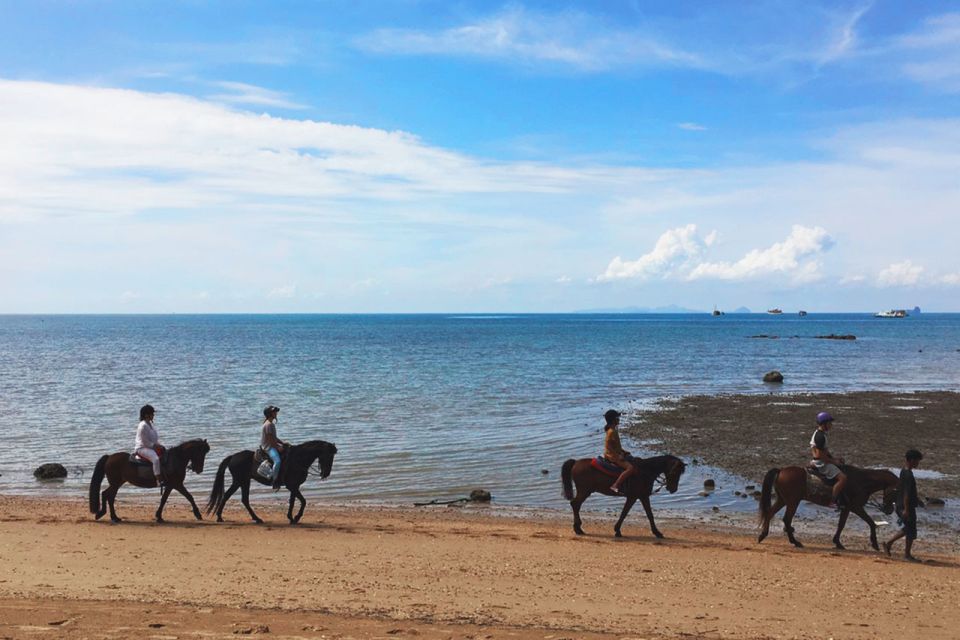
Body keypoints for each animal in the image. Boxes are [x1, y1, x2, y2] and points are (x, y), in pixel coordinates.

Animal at [205, 440, 338, 524]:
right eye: (328, 456)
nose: (326, 474)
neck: (298, 459)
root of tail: (233, 457)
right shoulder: (292, 486)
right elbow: (303, 501)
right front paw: (296, 517)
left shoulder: (294, 486)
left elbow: (293, 502)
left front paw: (291, 518)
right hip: (239, 481)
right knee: (228, 496)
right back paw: (220, 517)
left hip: (244, 481)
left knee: (244, 500)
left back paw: (256, 518)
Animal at [560, 452, 688, 536]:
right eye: (675, 472)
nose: (673, 489)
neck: (644, 471)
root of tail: (576, 462)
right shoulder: (633, 497)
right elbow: (625, 513)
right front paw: (617, 530)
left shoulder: (643, 496)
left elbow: (649, 514)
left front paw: (657, 532)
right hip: (584, 491)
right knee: (575, 504)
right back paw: (578, 529)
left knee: (575, 505)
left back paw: (578, 528)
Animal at [756, 464, 900, 552]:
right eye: (895, 492)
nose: (889, 510)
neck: (862, 481)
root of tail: (781, 470)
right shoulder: (855, 507)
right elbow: (870, 522)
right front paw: (875, 544)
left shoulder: (846, 508)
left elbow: (841, 525)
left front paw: (837, 542)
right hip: (792, 502)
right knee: (786, 519)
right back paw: (795, 542)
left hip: (783, 500)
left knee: (770, 513)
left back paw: (763, 535)